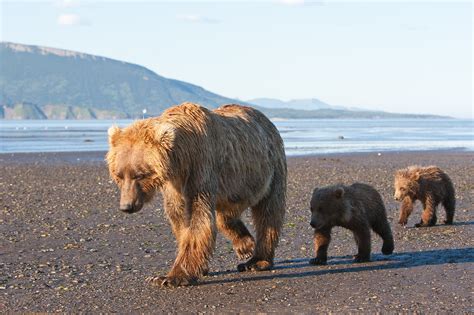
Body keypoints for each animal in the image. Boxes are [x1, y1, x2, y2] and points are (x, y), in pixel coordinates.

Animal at [106, 103, 286, 288]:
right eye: (119, 175)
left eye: (140, 175)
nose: (127, 206)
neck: (182, 158)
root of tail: (266, 119)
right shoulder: (174, 183)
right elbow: (179, 217)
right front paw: (199, 267)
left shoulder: (201, 167)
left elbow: (199, 218)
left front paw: (169, 277)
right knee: (225, 215)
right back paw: (245, 244)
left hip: (270, 169)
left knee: (268, 213)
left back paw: (257, 260)